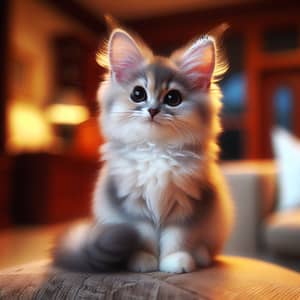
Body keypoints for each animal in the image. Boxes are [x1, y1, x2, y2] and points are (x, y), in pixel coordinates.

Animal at [52, 27, 233, 274]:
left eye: (173, 98)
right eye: (138, 94)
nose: (153, 110)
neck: (156, 152)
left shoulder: (189, 204)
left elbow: (177, 237)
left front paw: (175, 261)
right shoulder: (131, 204)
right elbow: (143, 236)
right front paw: (143, 260)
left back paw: (199, 256)